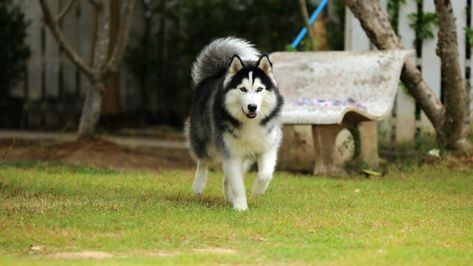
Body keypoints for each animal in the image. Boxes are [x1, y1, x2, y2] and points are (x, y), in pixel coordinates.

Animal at [184, 38, 282, 212]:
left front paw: (257, 190)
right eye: (243, 89)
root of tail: (214, 75)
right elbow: (237, 184)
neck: (249, 122)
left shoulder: (267, 146)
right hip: (206, 141)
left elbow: (265, 175)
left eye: (259, 89)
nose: (252, 107)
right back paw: (199, 184)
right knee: (203, 160)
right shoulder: (231, 153)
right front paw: (241, 207)